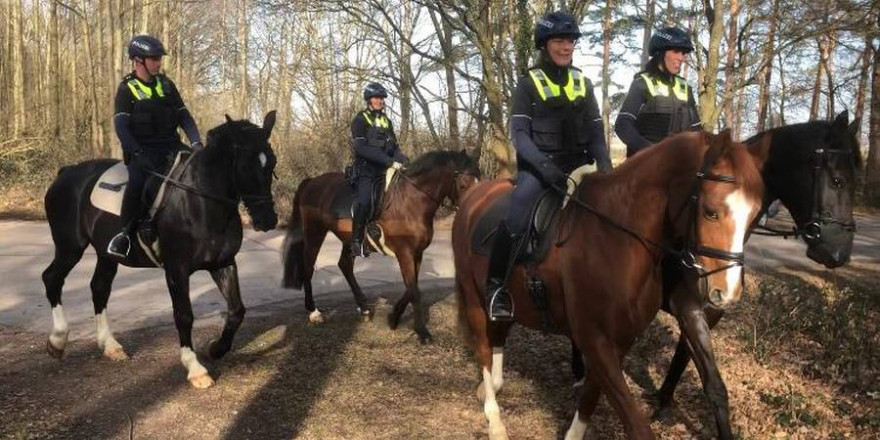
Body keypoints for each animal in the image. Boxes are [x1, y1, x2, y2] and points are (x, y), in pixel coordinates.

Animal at [41, 111, 278, 388]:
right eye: (243, 166)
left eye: (271, 162)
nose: (267, 220)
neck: (200, 201)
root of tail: (66, 172)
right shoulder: (176, 270)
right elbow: (184, 315)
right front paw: (195, 369)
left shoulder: (223, 263)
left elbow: (237, 310)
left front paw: (216, 349)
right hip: (70, 246)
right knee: (52, 278)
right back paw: (57, 341)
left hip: (105, 254)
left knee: (99, 288)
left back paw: (110, 346)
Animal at [282, 151, 478, 344]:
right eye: (462, 184)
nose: (472, 211)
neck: (411, 202)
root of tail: (311, 182)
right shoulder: (405, 253)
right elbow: (414, 291)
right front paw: (422, 332)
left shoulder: (417, 253)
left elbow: (411, 287)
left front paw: (394, 317)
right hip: (315, 233)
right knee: (309, 267)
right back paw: (314, 312)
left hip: (349, 240)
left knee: (344, 265)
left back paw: (364, 308)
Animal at [450, 131, 768, 440]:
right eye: (710, 211)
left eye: (755, 215)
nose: (728, 293)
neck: (617, 239)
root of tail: (473, 197)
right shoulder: (595, 340)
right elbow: (637, 426)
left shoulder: (621, 339)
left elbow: (590, 399)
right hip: (474, 298)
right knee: (483, 349)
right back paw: (495, 421)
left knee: (499, 335)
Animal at [572, 111, 860, 440]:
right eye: (838, 181)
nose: (838, 253)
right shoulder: (687, 306)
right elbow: (713, 384)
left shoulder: (708, 312)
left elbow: (685, 361)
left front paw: (664, 401)